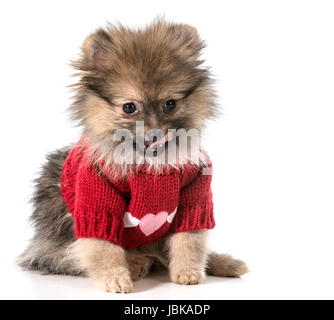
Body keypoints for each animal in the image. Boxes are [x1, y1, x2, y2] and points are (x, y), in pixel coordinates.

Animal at [18, 19, 248, 292]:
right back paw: (137, 262)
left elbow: (189, 240)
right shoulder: (96, 202)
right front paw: (114, 277)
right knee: (65, 256)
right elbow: (102, 247)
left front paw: (188, 270)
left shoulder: (193, 196)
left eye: (170, 103)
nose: (155, 131)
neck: (149, 163)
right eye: (129, 107)